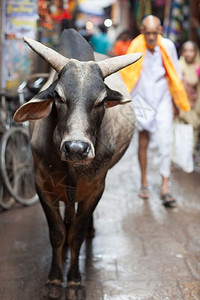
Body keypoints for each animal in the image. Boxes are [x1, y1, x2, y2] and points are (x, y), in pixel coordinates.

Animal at [13, 28, 141, 300]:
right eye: (58, 97)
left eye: (101, 101)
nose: (76, 148)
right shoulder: (42, 185)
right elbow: (57, 233)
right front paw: (54, 279)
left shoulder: (95, 188)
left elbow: (76, 236)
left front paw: (73, 281)